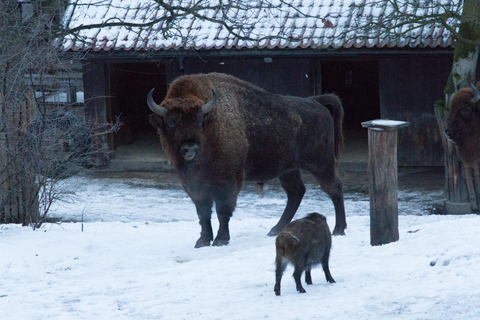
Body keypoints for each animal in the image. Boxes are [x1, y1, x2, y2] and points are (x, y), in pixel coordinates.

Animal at [146, 72, 344, 248]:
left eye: (200, 120)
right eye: (170, 123)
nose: (190, 148)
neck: (212, 125)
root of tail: (316, 101)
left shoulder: (227, 181)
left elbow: (222, 210)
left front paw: (221, 240)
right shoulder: (194, 184)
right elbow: (203, 213)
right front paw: (202, 241)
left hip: (321, 164)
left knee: (334, 189)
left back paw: (339, 230)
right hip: (289, 170)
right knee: (296, 192)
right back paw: (275, 229)